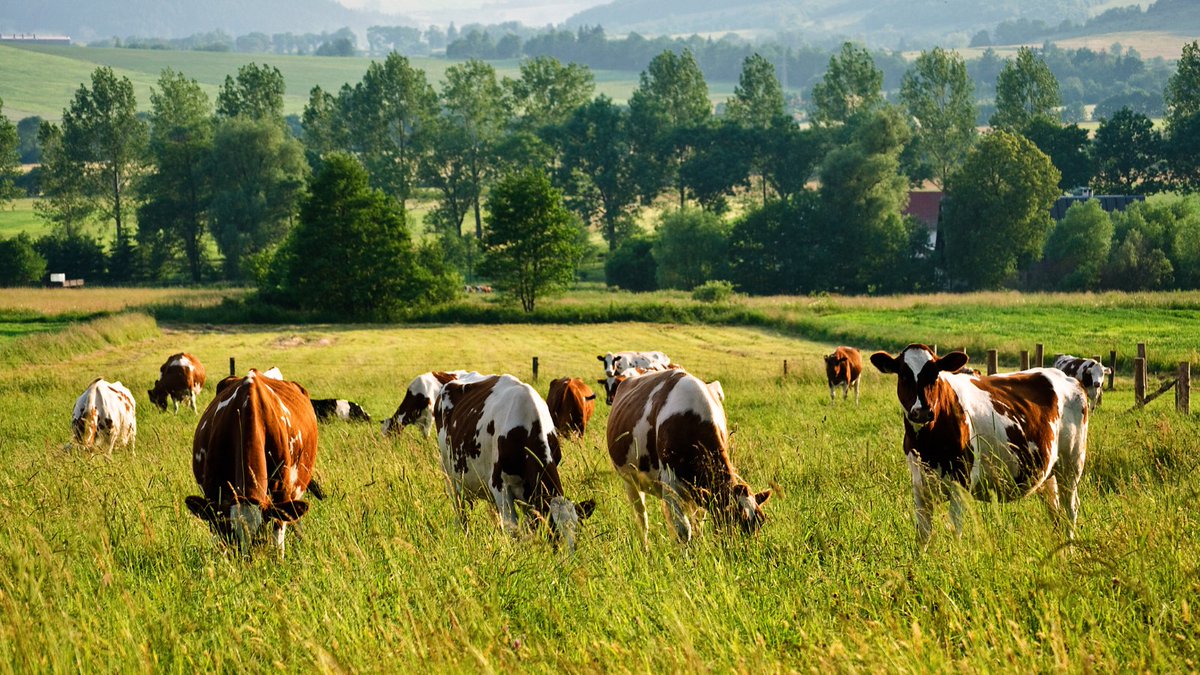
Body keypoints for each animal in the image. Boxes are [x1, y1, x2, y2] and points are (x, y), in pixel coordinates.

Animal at [185, 368, 319, 555]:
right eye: (230, 534)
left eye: (260, 536)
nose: (247, 560)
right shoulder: (213, 495)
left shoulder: (281, 493)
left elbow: (278, 539)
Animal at [435, 374, 594, 552]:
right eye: (554, 531)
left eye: (577, 532)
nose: (568, 557)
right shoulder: (499, 485)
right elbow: (513, 529)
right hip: (448, 473)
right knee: (459, 510)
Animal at [606, 368, 771, 545]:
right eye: (731, 518)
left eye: (761, 521)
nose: (747, 550)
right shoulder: (670, 485)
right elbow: (683, 531)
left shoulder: (701, 490)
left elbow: (698, 522)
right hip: (629, 480)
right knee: (641, 519)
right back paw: (645, 548)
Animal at [870, 344, 1089, 548]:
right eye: (904, 375)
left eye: (934, 375)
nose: (922, 412)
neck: (927, 445)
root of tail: (1067, 378)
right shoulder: (919, 484)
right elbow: (923, 534)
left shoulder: (961, 481)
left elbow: (955, 530)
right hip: (1048, 473)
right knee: (1055, 512)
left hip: (1071, 465)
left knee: (1070, 510)